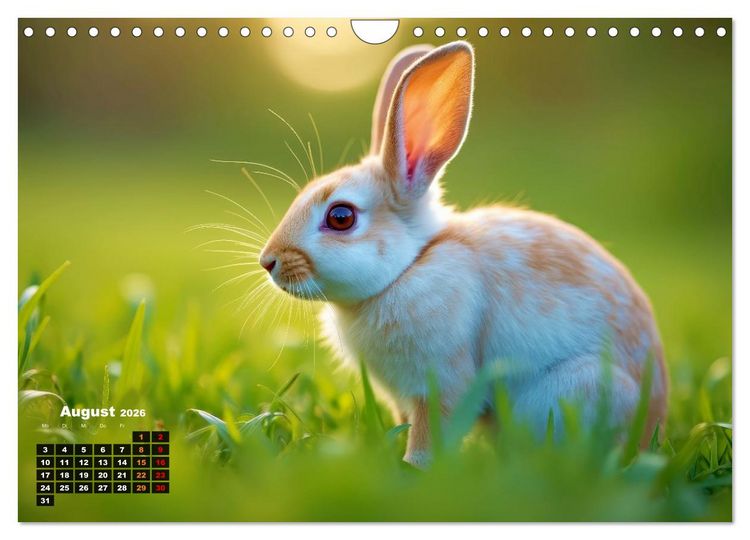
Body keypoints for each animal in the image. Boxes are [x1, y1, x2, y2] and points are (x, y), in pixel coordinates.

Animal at [258, 41, 668, 468]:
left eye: (341, 217)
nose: (268, 262)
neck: (411, 265)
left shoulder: (442, 382)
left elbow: (429, 431)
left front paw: (412, 467)